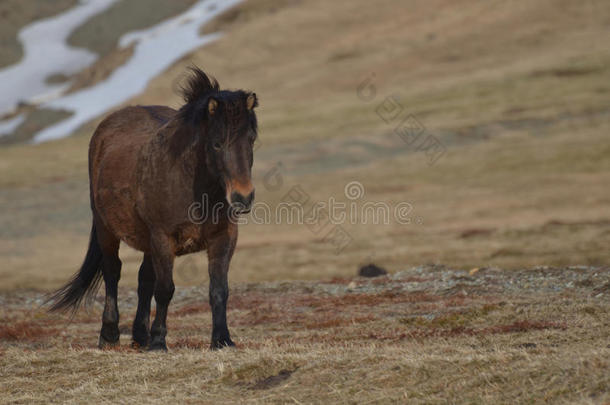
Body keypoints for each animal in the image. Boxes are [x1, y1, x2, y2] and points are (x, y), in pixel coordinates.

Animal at [48, 68, 256, 348]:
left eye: (251, 140)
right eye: (217, 143)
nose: (243, 197)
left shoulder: (223, 238)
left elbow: (219, 289)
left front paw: (222, 340)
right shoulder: (163, 237)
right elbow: (165, 289)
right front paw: (158, 341)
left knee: (144, 279)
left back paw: (140, 336)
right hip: (107, 229)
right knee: (113, 271)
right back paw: (110, 335)